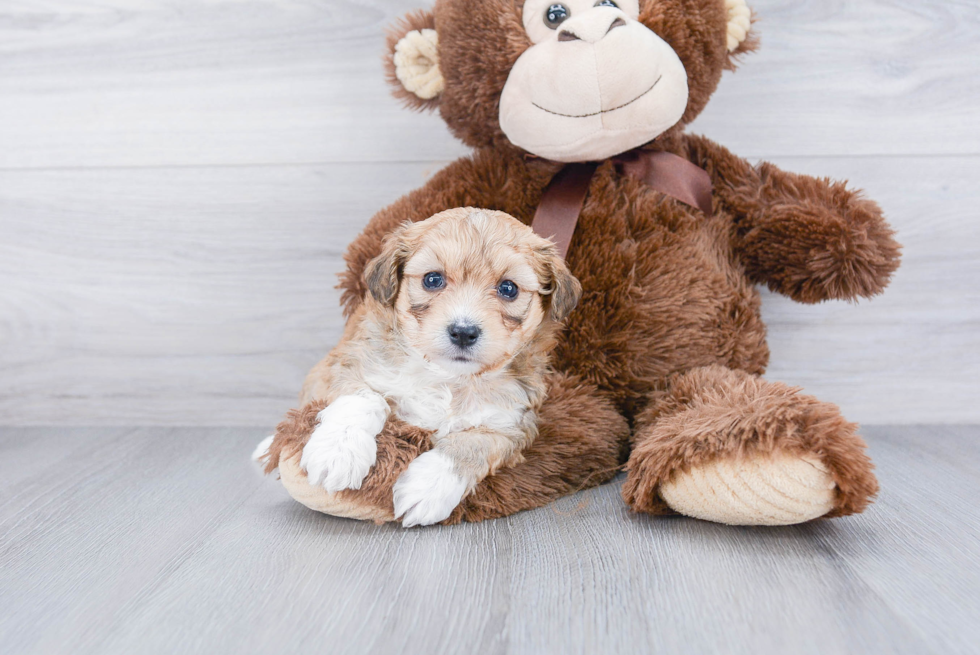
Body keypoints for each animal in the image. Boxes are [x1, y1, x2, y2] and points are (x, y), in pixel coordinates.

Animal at [262, 210, 580, 528]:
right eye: (432, 279)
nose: (463, 332)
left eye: (508, 288)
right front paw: (338, 452)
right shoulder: (351, 364)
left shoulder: (512, 423)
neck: (447, 378)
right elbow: (364, 399)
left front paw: (429, 486)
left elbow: (473, 444)